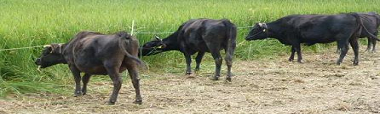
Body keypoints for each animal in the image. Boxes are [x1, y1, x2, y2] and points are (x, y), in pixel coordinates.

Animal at [245, 12, 378, 65]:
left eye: (254, 29)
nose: (246, 37)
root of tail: (350, 13)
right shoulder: (294, 41)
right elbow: (293, 50)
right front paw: (291, 59)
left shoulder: (294, 40)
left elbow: (297, 50)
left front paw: (299, 60)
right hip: (353, 37)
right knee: (356, 49)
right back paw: (355, 62)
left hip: (343, 39)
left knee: (345, 49)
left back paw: (338, 62)